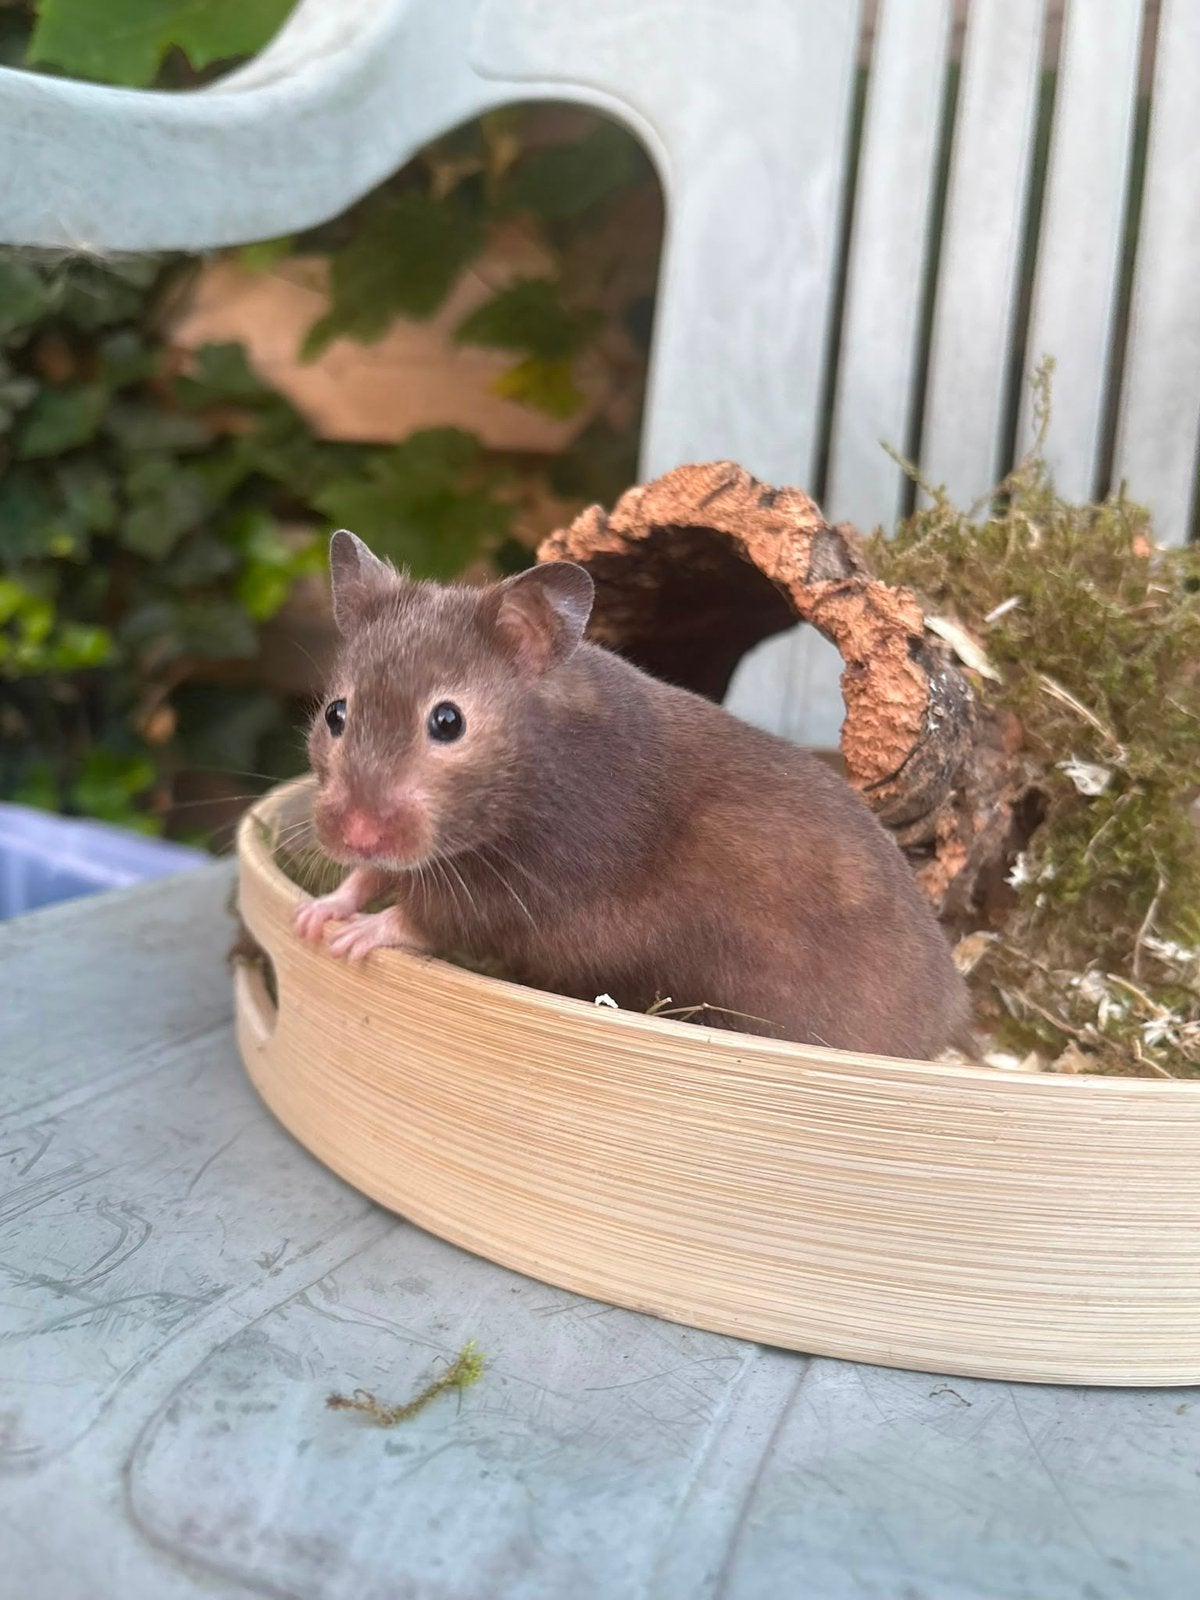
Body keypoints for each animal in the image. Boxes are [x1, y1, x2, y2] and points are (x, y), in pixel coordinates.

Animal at [295, 529, 972, 1060]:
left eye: (447, 721)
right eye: (335, 713)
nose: (354, 833)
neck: (533, 769)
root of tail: (952, 1016)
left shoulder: (518, 891)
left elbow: (424, 915)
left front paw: (353, 940)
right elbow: (371, 877)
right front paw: (314, 918)